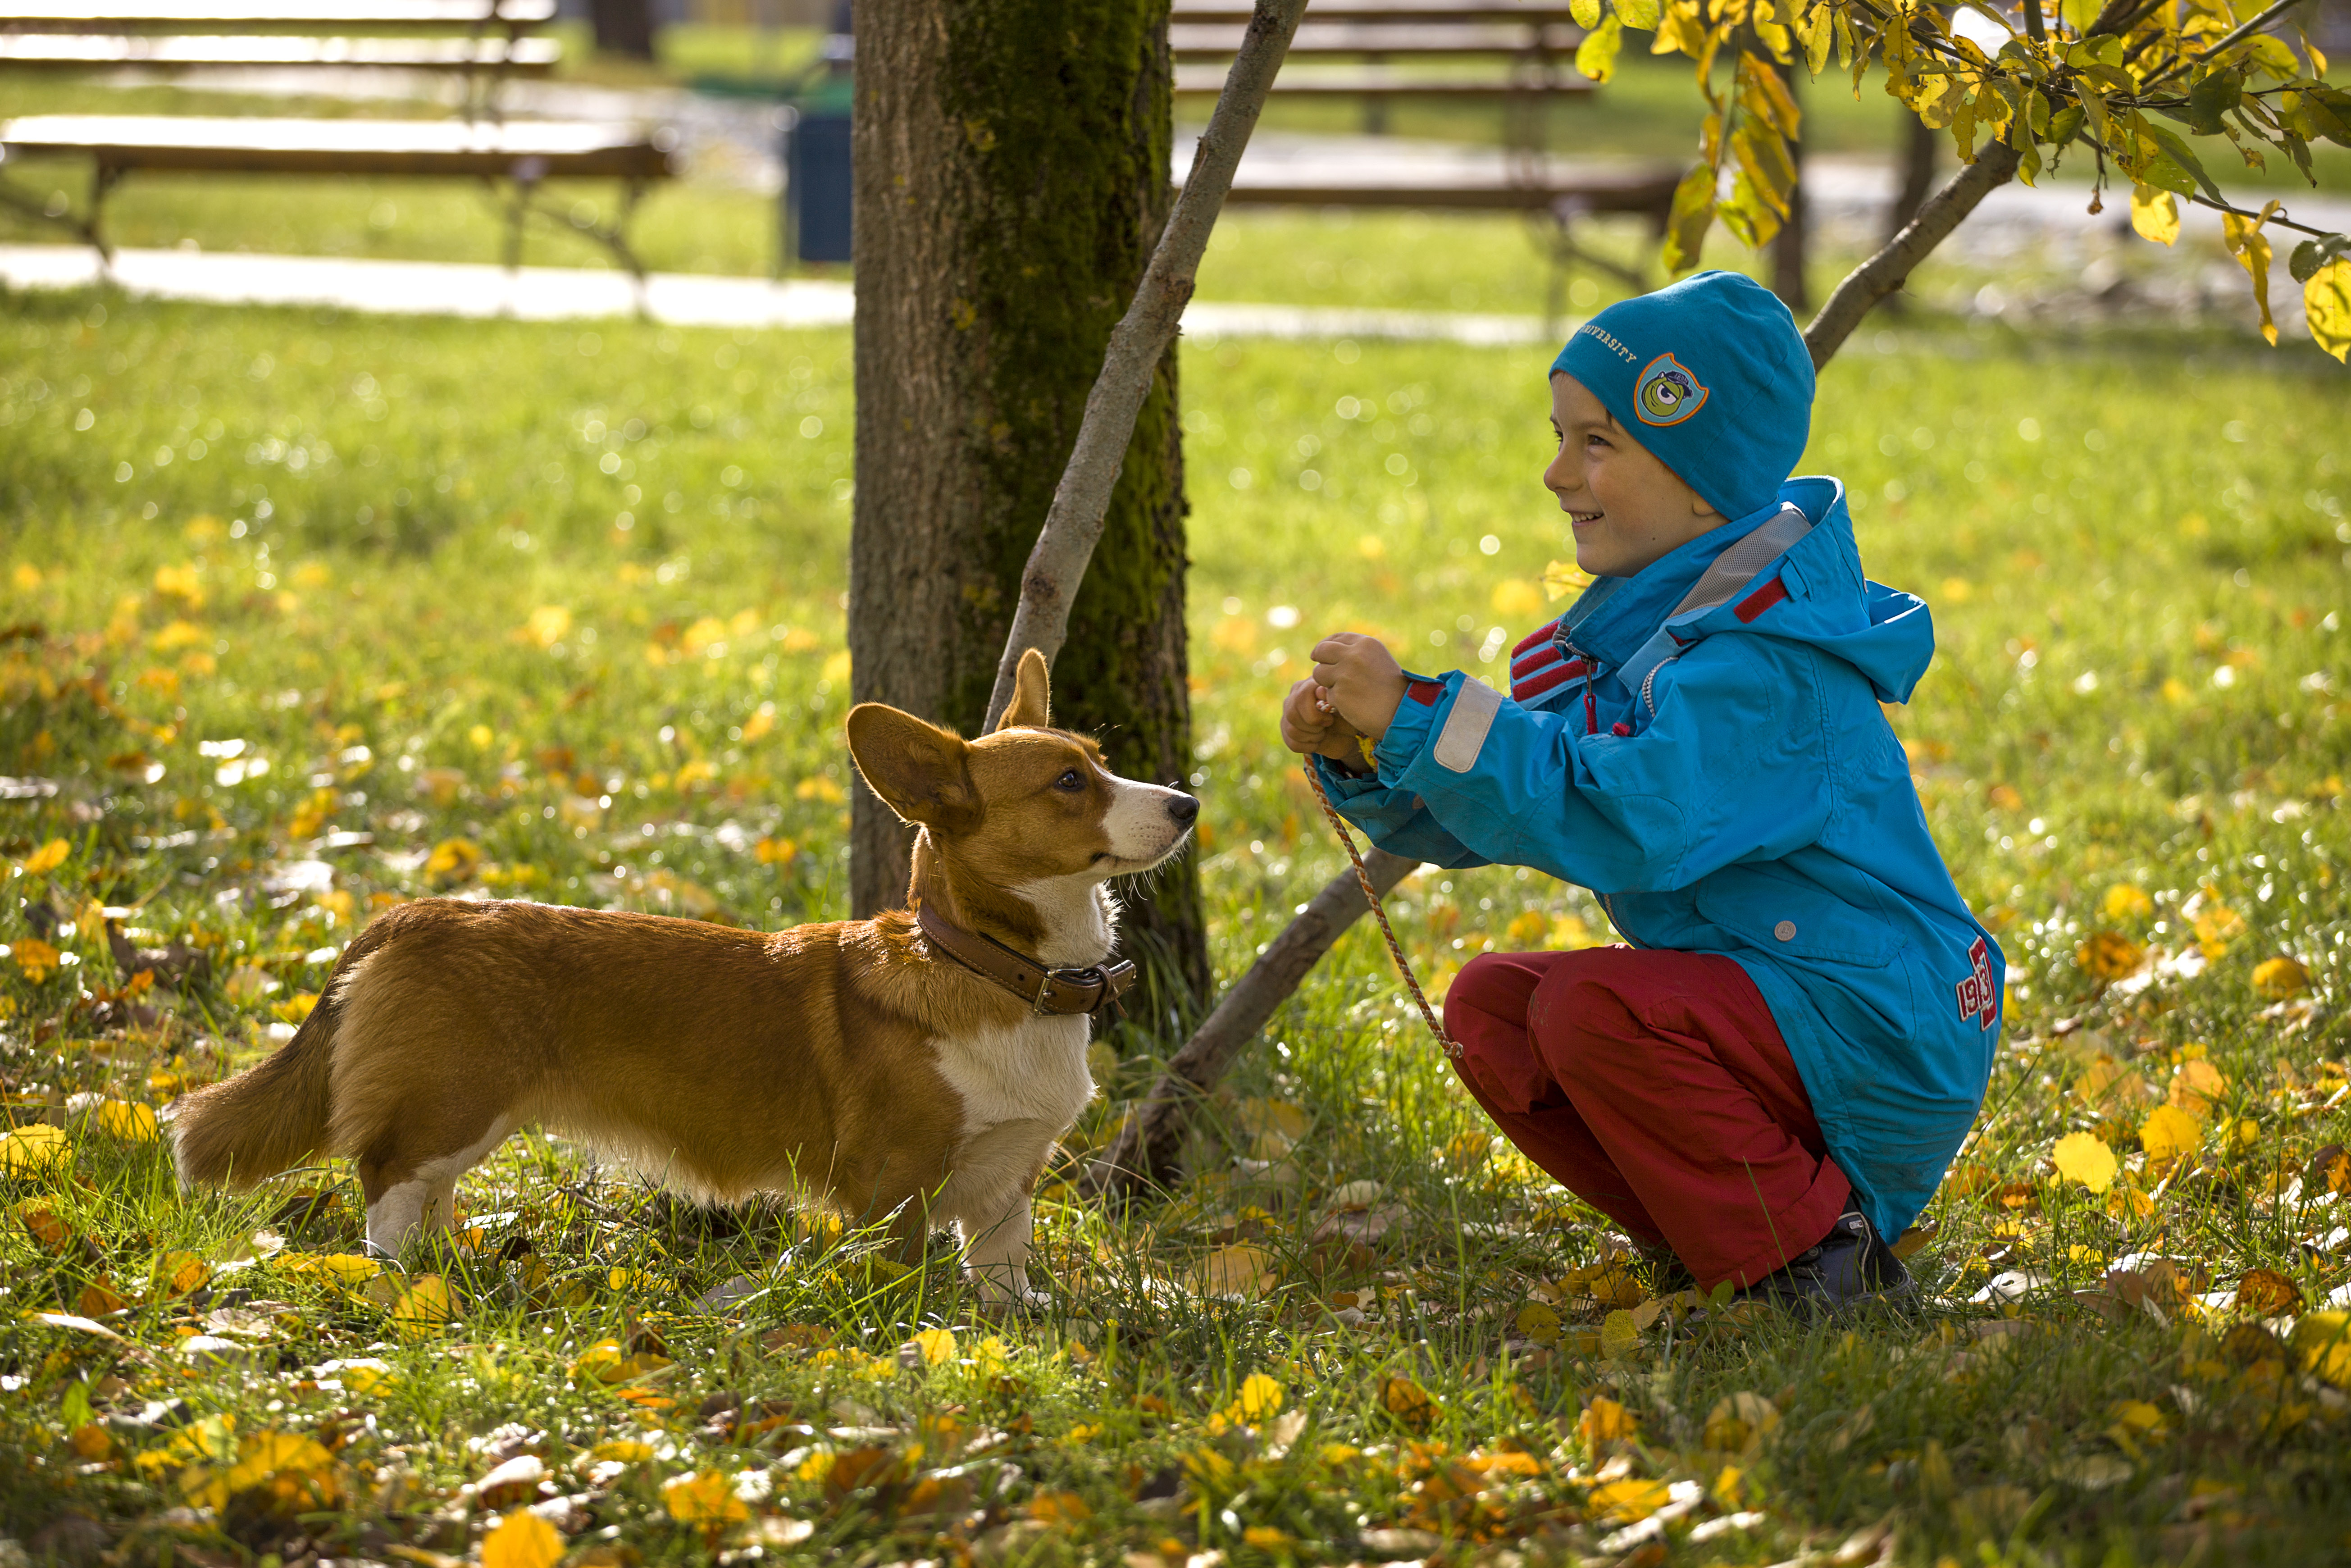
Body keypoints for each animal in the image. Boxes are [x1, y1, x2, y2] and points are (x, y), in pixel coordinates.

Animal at [168, 653, 1194, 1316]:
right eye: (1068, 783)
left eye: (1100, 761)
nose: (1188, 802)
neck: (996, 968)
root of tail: (413, 913)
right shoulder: (894, 1184)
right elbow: (899, 1280)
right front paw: (908, 1344)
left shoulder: (1007, 1181)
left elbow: (1002, 1275)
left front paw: (1015, 1331)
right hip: (449, 1105)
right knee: (384, 1190)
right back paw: (396, 1288)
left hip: (458, 1120)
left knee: (426, 1196)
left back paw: (444, 1271)